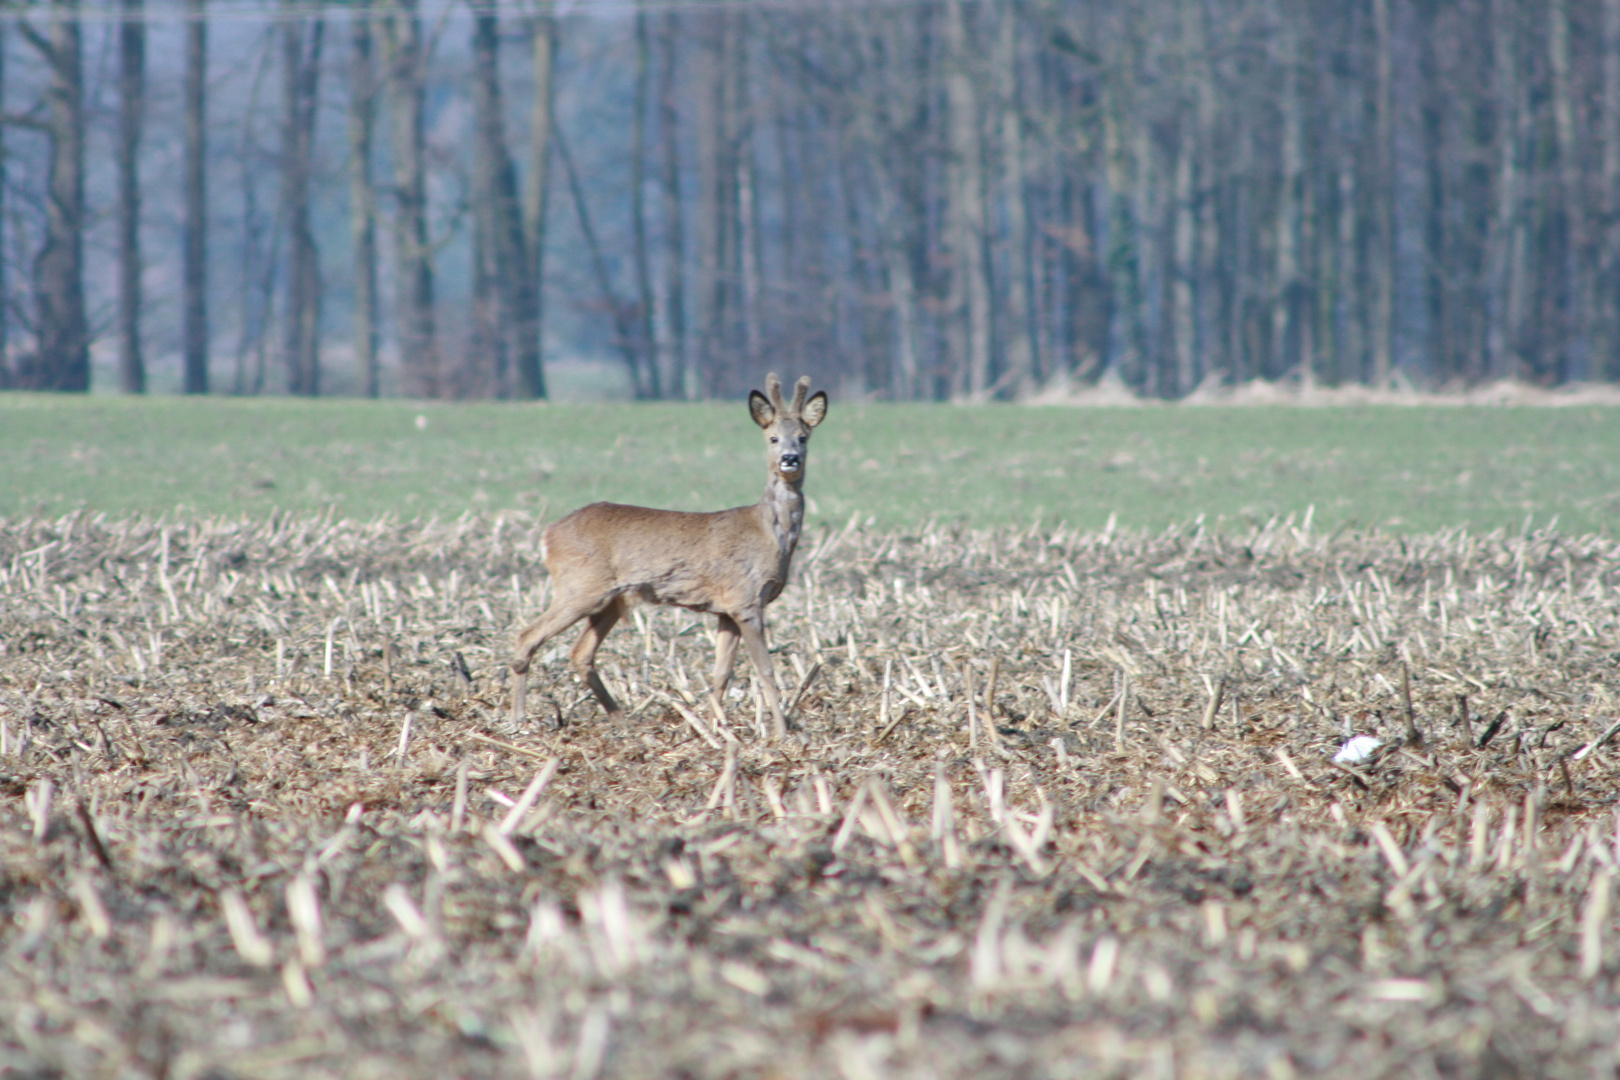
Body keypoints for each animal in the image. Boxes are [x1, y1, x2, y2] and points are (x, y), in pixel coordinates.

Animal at [511, 375, 829, 738]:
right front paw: (781, 733)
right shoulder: (745, 599)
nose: (790, 458)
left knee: (580, 652)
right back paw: (518, 721)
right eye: (773, 437)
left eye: (803, 437)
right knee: (527, 636)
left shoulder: (726, 610)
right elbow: (766, 670)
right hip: (580, 587)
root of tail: (548, 535)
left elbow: (721, 674)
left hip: (610, 599)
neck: (769, 532)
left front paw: (714, 729)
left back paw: (623, 722)